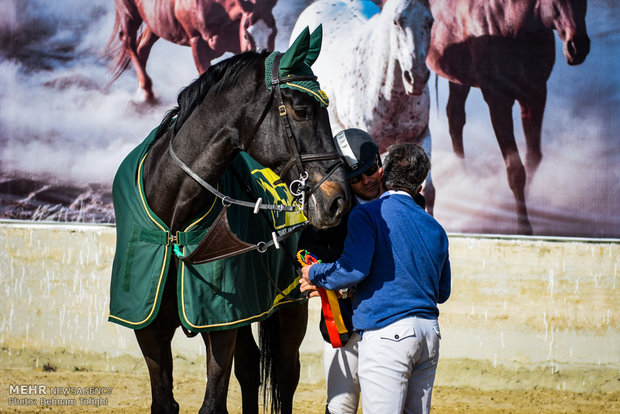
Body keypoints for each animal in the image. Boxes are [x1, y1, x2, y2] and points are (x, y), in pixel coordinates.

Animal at [106, 0, 278, 102]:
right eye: (246, 35)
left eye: (274, 33)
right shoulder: (197, 44)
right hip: (128, 12)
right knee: (128, 41)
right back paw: (145, 92)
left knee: (142, 47)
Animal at [109, 26, 352, 414]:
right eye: (301, 109)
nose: (337, 200)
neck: (174, 221)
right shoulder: (148, 327)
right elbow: (165, 400)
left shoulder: (221, 324)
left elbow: (214, 402)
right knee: (251, 369)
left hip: (290, 305)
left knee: (286, 375)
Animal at [426, 0, 592, 234]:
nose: (578, 47)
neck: (510, 22)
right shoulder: (498, 100)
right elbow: (515, 170)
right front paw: (523, 227)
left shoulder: (535, 95)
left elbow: (533, 158)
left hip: (457, 77)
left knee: (455, 118)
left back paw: (464, 176)